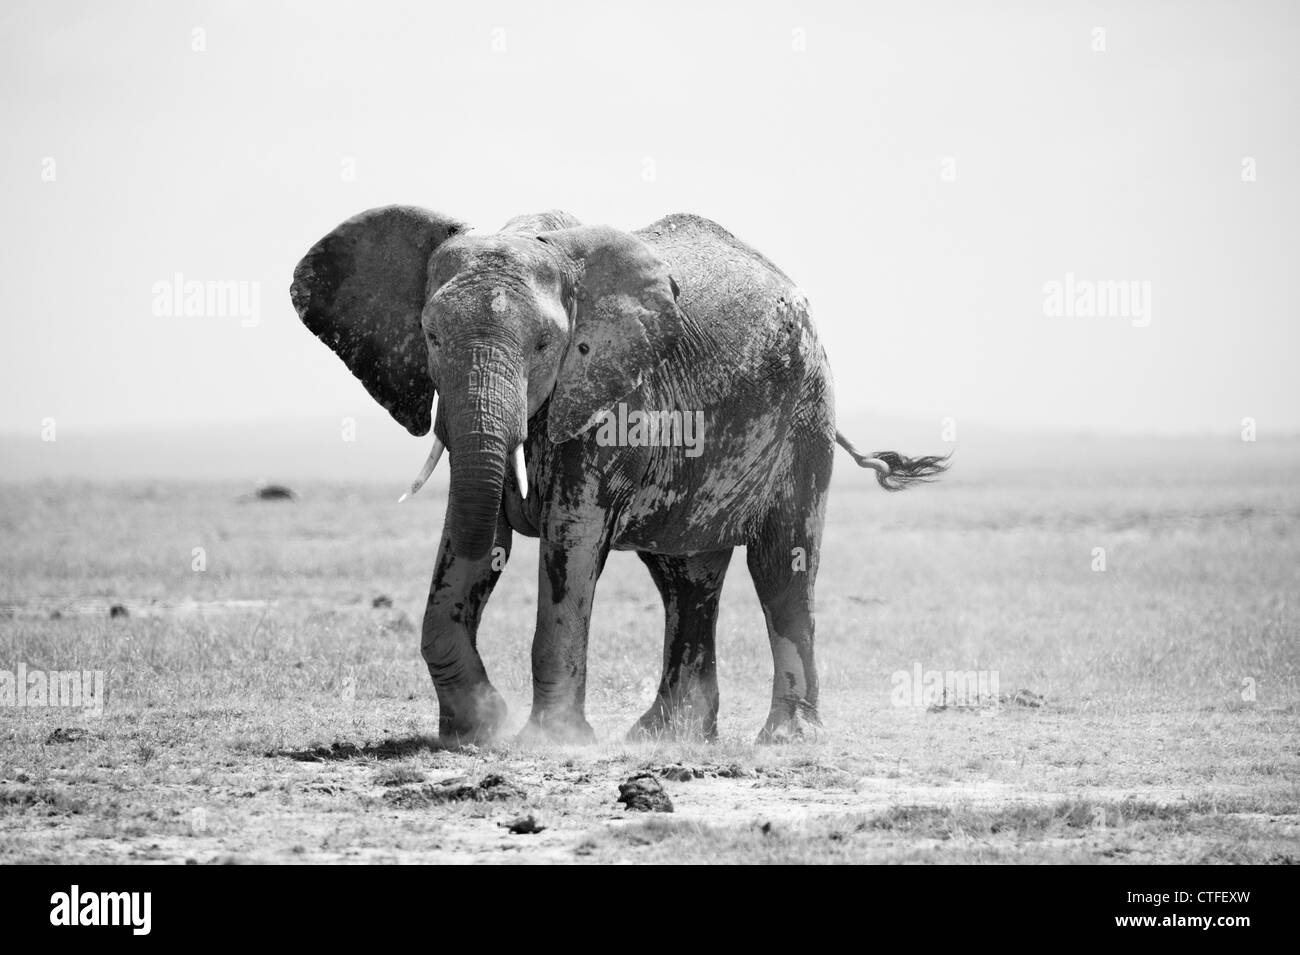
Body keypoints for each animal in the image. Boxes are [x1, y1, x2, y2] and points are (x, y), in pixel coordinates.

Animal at [290, 206, 947, 744]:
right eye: (429, 334)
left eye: (544, 344)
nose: (489, 715)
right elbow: (472, 537)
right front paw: (477, 730)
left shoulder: (611, 402)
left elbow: (571, 544)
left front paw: (546, 742)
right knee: (686, 578)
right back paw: (665, 738)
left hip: (804, 417)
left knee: (782, 568)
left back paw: (786, 740)